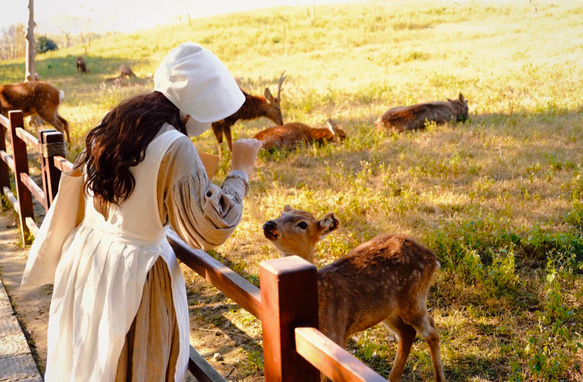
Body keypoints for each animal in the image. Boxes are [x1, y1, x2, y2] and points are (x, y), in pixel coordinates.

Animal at [262, 207, 444, 380]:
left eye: (303, 224)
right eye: (282, 214)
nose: (269, 224)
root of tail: (433, 258)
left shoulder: (336, 337)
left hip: (414, 299)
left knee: (432, 332)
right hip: (388, 311)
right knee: (407, 333)